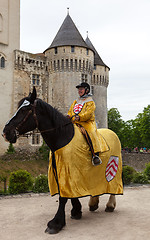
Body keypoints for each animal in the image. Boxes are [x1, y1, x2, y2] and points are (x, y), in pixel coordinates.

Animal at [2, 87, 123, 234]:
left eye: (25, 110)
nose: (5, 132)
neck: (62, 136)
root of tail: (113, 133)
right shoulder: (59, 171)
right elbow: (68, 194)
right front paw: (76, 211)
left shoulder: (68, 171)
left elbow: (63, 197)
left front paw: (56, 223)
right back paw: (93, 203)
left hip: (115, 165)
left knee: (113, 185)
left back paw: (110, 205)